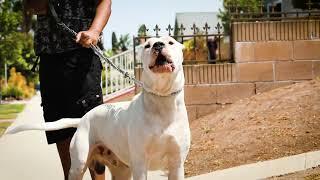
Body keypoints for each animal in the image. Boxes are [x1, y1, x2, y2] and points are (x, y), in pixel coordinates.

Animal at [6, 36, 190, 180]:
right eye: (147, 45)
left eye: (171, 42)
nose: (158, 45)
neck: (162, 99)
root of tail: (83, 118)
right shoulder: (140, 164)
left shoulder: (176, 165)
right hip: (79, 165)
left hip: (121, 170)